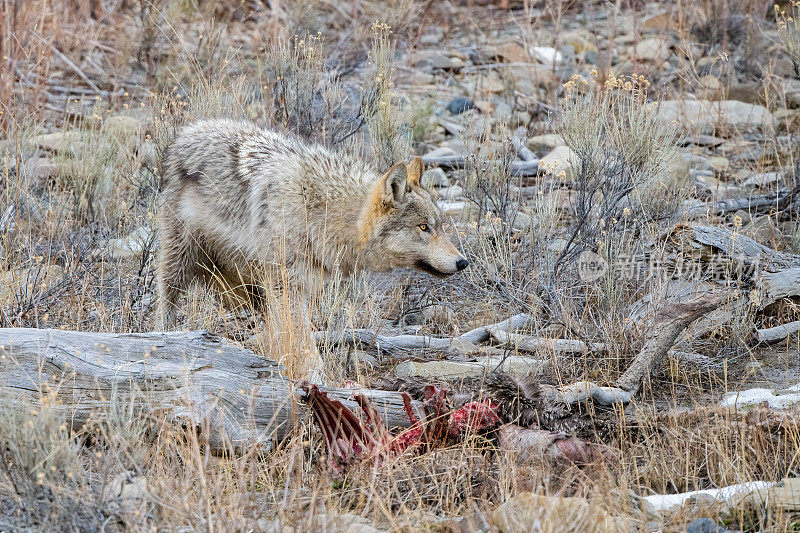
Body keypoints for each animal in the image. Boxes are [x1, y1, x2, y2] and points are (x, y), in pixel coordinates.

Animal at [157, 118, 468, 330]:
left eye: (439, 226)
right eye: (423, 228)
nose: (463, 262)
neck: (320, 211)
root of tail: (187, 132)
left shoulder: (303, 288)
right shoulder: (285, 287)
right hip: (179, 261)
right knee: (166, 301)